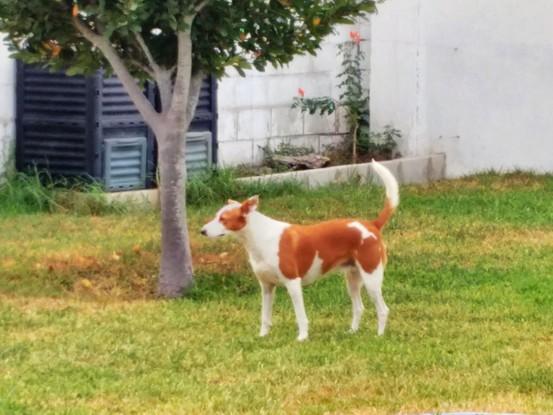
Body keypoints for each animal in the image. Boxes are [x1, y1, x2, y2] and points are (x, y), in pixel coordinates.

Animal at [201, 161, 398, 340]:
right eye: (216, 216)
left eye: (223, 219)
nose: (202, 231)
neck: (260, 238)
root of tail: (372, 225)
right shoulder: (266, 287)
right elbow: (265, 317)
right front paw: (263, 336)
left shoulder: (293, 283)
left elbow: (300, 316)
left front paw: (302, 338)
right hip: (353, 279)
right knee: (359, 308)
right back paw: (352, 332)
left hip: (372, 279)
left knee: (383, 309)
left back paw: (379, 335)